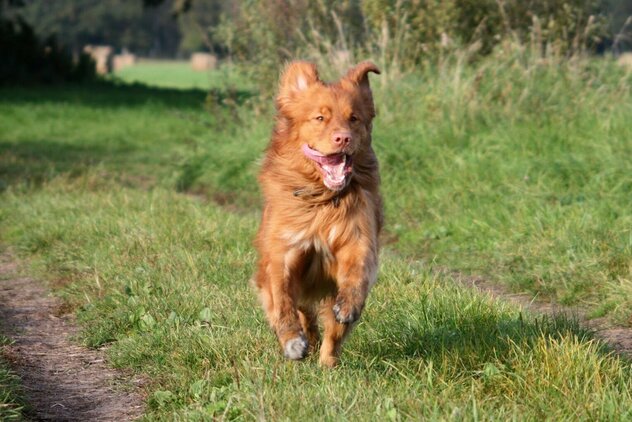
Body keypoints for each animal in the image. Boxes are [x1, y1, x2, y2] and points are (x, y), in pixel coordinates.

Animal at [251, 59, 380, 366]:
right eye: (320, 118)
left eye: (353, 118)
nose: (343, 138)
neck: (322, 200)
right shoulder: (283, 251)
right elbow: (282, 299)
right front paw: (291, 341)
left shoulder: (357, 238)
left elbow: (357, 271)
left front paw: (349, 304)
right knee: (302, 311)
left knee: (331, 331)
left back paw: (327, 362)